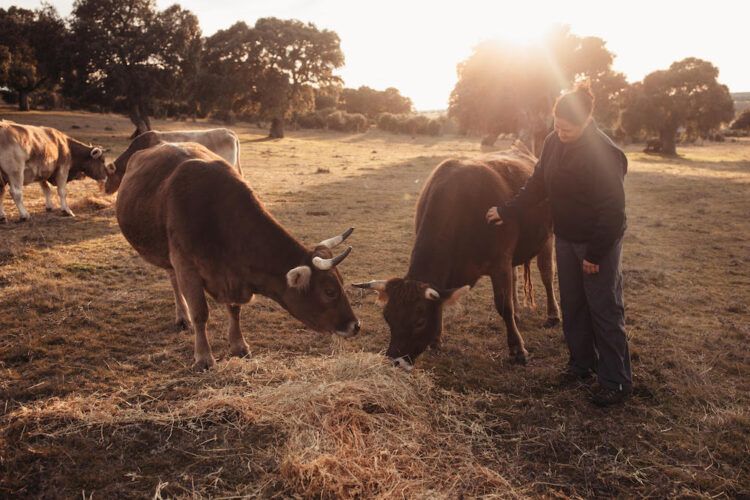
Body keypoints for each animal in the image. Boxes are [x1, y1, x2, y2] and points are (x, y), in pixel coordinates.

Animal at [117, 143, 362, 370]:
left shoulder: (233, 275)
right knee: (175, 282)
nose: (355, 325)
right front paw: (203, 357)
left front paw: (238, 345)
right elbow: (200, 313)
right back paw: (183, 316)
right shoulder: (186, 265)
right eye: (329, 291)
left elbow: (234, 310)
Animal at [356, 143, 560, 370]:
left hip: (547, 236)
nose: (396, 361)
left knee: (546, 274)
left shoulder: (499, 263)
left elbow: (503, 306)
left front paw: (517, 350)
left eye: (419, 321)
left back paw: (552, 315)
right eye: (387, 317)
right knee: (515, 277)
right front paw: (436, 340)